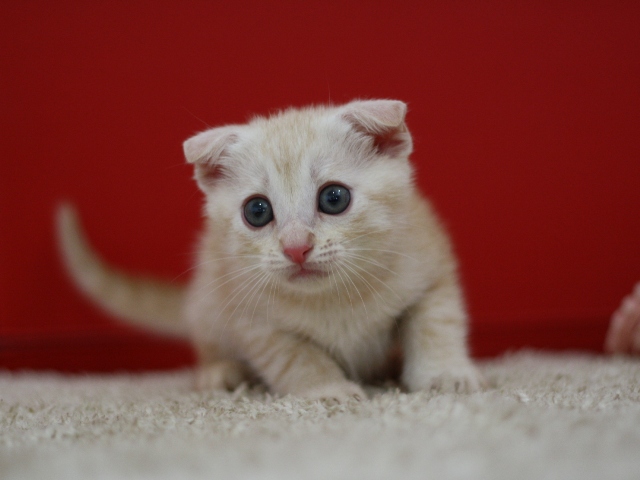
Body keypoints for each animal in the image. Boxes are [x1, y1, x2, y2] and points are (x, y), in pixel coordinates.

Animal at [57, 99, 482, 400]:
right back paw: (222, 372)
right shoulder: (252, 320)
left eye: (334, 198)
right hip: (209, 301)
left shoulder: (431, 270)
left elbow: (435, 324)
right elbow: (296, 356)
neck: (332, 300)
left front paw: (443, 374)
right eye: (257, 211)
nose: (296, 248)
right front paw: (328, 389)